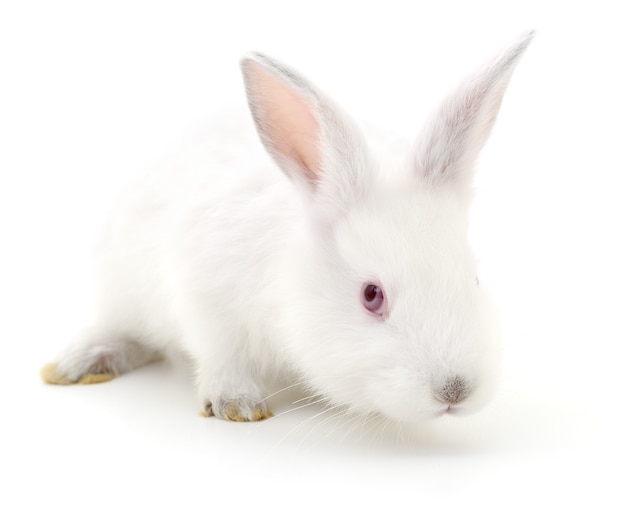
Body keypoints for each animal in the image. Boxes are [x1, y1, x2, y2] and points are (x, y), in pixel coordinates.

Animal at [41, 32, 532, 422]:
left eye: (473, 278)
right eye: (371, 295)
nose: (454, 391)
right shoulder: (204, 296)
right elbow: (219, 351)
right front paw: (236, 404)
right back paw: (78, 363)